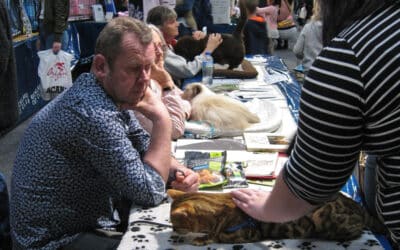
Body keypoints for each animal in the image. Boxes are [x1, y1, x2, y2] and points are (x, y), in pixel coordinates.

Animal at [167, 189, 386, 246]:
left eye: (174, 223)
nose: (173, 230)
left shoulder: (246, 234)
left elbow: (218, 235)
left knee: (355, 231)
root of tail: (359, 207)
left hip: (323, 214)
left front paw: (202, 238)